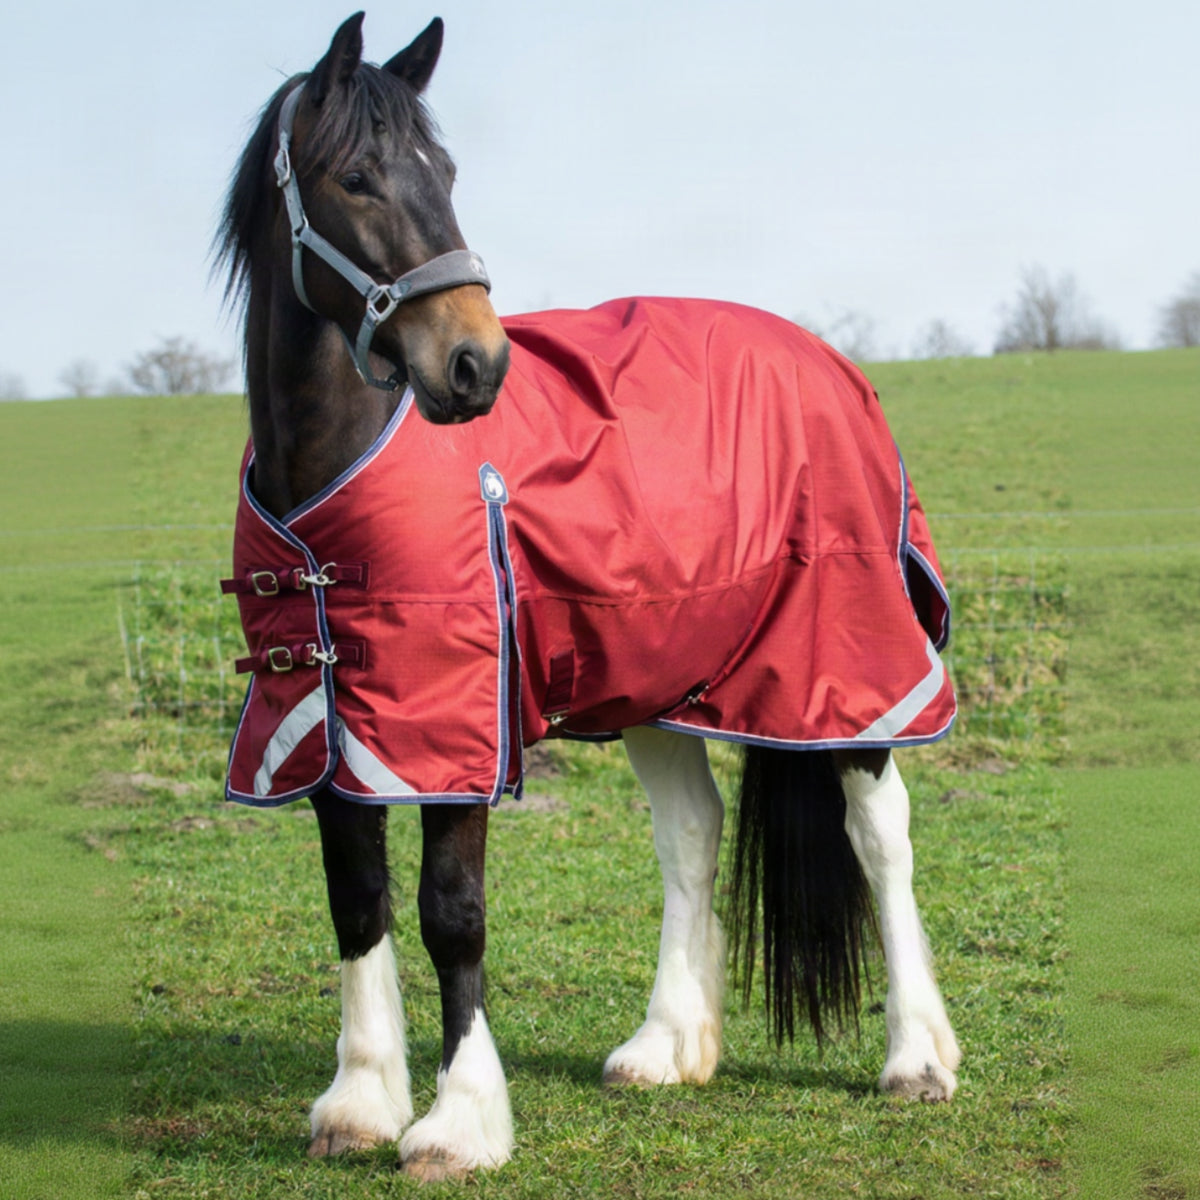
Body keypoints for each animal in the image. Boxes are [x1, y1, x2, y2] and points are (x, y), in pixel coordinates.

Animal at [216, 12, 961, 1180]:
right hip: (661, 671)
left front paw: (459, 1123)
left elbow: (451, 910)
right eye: (356, 178)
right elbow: (357, 899)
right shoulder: (327, 719)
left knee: (880, 834)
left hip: (849, 674)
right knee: (692, 832)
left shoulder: (456, 721)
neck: (332, 473)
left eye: (446, 174)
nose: (475, 364)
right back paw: (665, 1046)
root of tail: (831, 363)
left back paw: (918, 1058)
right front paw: (361, 1101)